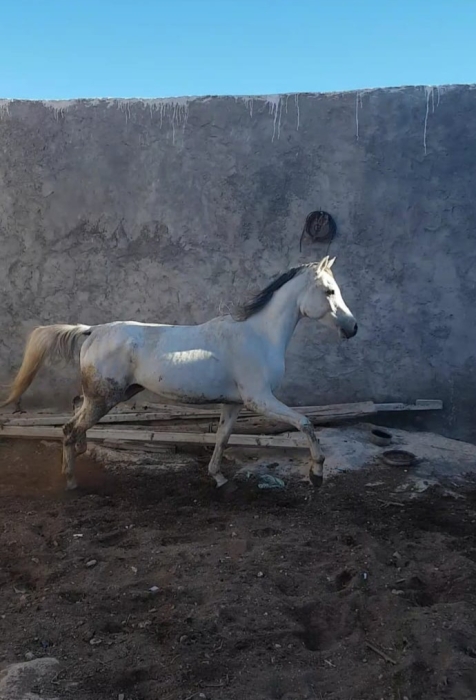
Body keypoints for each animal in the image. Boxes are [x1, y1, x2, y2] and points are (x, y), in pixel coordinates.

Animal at [1, 256, 358, 492]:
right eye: (329, 291)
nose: (352, 328)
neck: (258, 335)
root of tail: (92, 330)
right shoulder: (260, 400)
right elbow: (306, 423)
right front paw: (316, 474)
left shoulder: (234, 403)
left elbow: (222, 438)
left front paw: (219, 477)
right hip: (105, 398)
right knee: (69, 428)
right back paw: (71, 480)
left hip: (112, 394)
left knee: (75, 412)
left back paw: (80, 454)